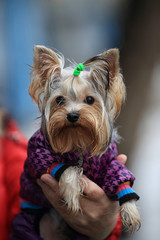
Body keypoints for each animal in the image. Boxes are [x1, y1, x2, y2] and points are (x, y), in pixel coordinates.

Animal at [13, 45, 140, 240]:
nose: (72, 115)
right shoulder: (39, 151)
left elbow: (119, 176)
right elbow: (65, 168)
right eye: (59, 100)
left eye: (89, 100)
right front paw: (72, 194)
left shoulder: (110, 161)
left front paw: (130, 211)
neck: (78, 137)